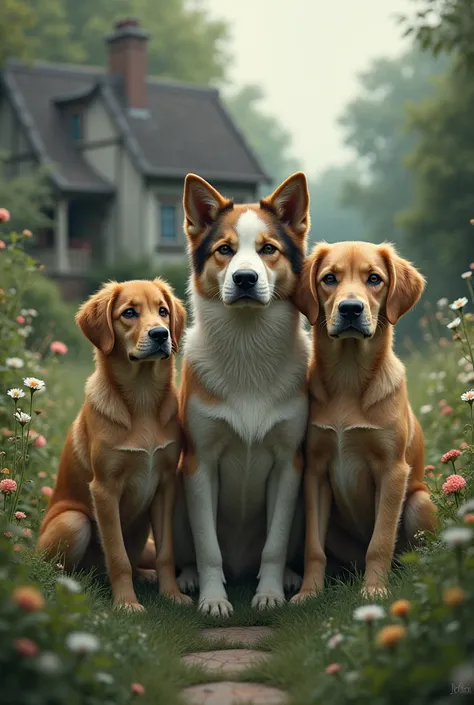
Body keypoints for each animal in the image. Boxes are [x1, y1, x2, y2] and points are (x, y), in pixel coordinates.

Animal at [36, 278, 191, 608]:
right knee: (56, 569)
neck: (142, 399)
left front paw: (172, 594)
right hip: (73, 521)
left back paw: (145, 575)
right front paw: (127, 603)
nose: (161, 334)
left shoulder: (165, 484)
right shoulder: (104, 490)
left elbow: (166, 553)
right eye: (129, 313)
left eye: (162, 310)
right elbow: (117, 556)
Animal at [174, 172, 312, 616]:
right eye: (225, 250)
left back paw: (289, 577)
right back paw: (188, 577)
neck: (248, 348)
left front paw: (269, 593)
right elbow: (208, 548)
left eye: (268, 249)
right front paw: (213, 600)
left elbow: (275, 545)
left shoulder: (288, 465)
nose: (245, 279)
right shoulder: (200, 464)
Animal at [292, 242, 436, 600]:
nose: (351, 309)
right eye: (329, 278)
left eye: (374, 279)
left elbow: (380, 541)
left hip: (419, 501)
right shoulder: (315, 470)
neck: (349, 375)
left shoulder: (392, 470)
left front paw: (374, 591)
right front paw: (309, 592)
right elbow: (313, 547)